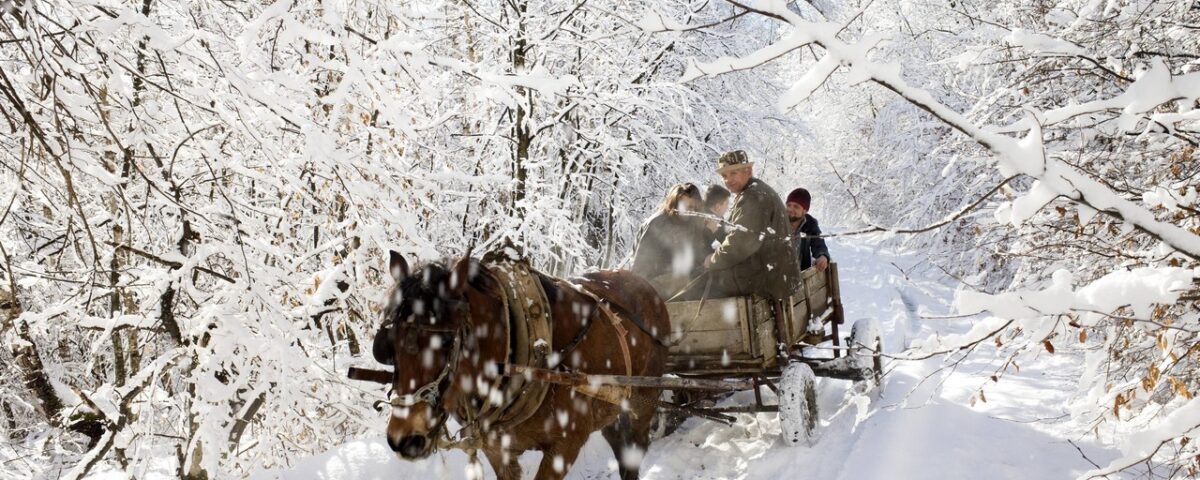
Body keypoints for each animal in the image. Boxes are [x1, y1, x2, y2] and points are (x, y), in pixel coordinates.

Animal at [372, 250, 672, 480]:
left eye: (446, 341)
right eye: (389, 342)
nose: (404, 438)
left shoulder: (565, 445)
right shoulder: (498, 449)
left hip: (643, 403)